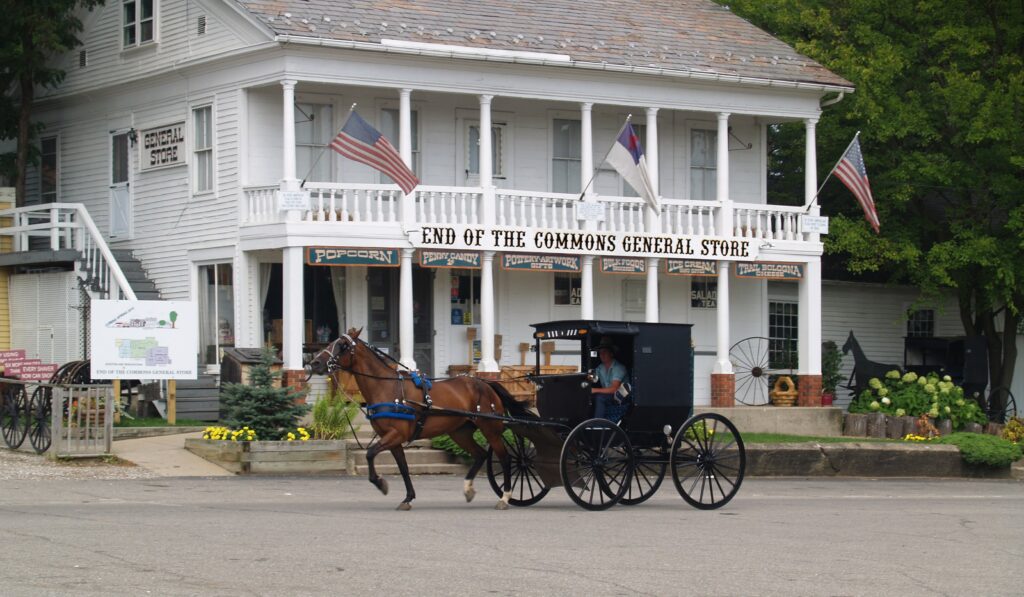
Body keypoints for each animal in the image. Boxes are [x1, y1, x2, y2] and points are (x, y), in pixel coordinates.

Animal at [305, 329, 524, 512]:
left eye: (342, 345)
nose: (314, 363)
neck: (387, 388)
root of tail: (486, 384)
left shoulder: (396, 435)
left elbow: (370, 453)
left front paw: (381, 483)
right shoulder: (392, 439)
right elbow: (403, 467)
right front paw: (407, 498)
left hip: (490, 430)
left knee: (505, 458)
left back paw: (505, 497)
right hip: (459, 432)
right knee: (480, 455)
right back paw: (468, 489)